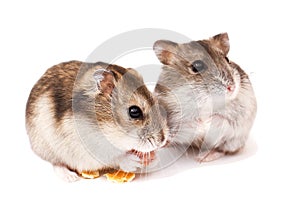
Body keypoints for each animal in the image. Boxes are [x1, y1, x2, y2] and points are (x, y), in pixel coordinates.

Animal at [25, 60, 168, 181]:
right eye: (134, 111)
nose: (162, 141)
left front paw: (154, 158)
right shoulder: (90, 148)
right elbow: (114, 157)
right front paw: (133, 161)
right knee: (57, 163)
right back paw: (70, 177)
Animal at [154, 32, 256, 161]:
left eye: (227, 59)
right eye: (197, 66)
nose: (232, 87)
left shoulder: (240, 114)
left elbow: (221, 119)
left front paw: (207, 122)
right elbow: (186, 123)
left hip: (234, 142)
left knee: (222, 150)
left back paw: (203, 157)